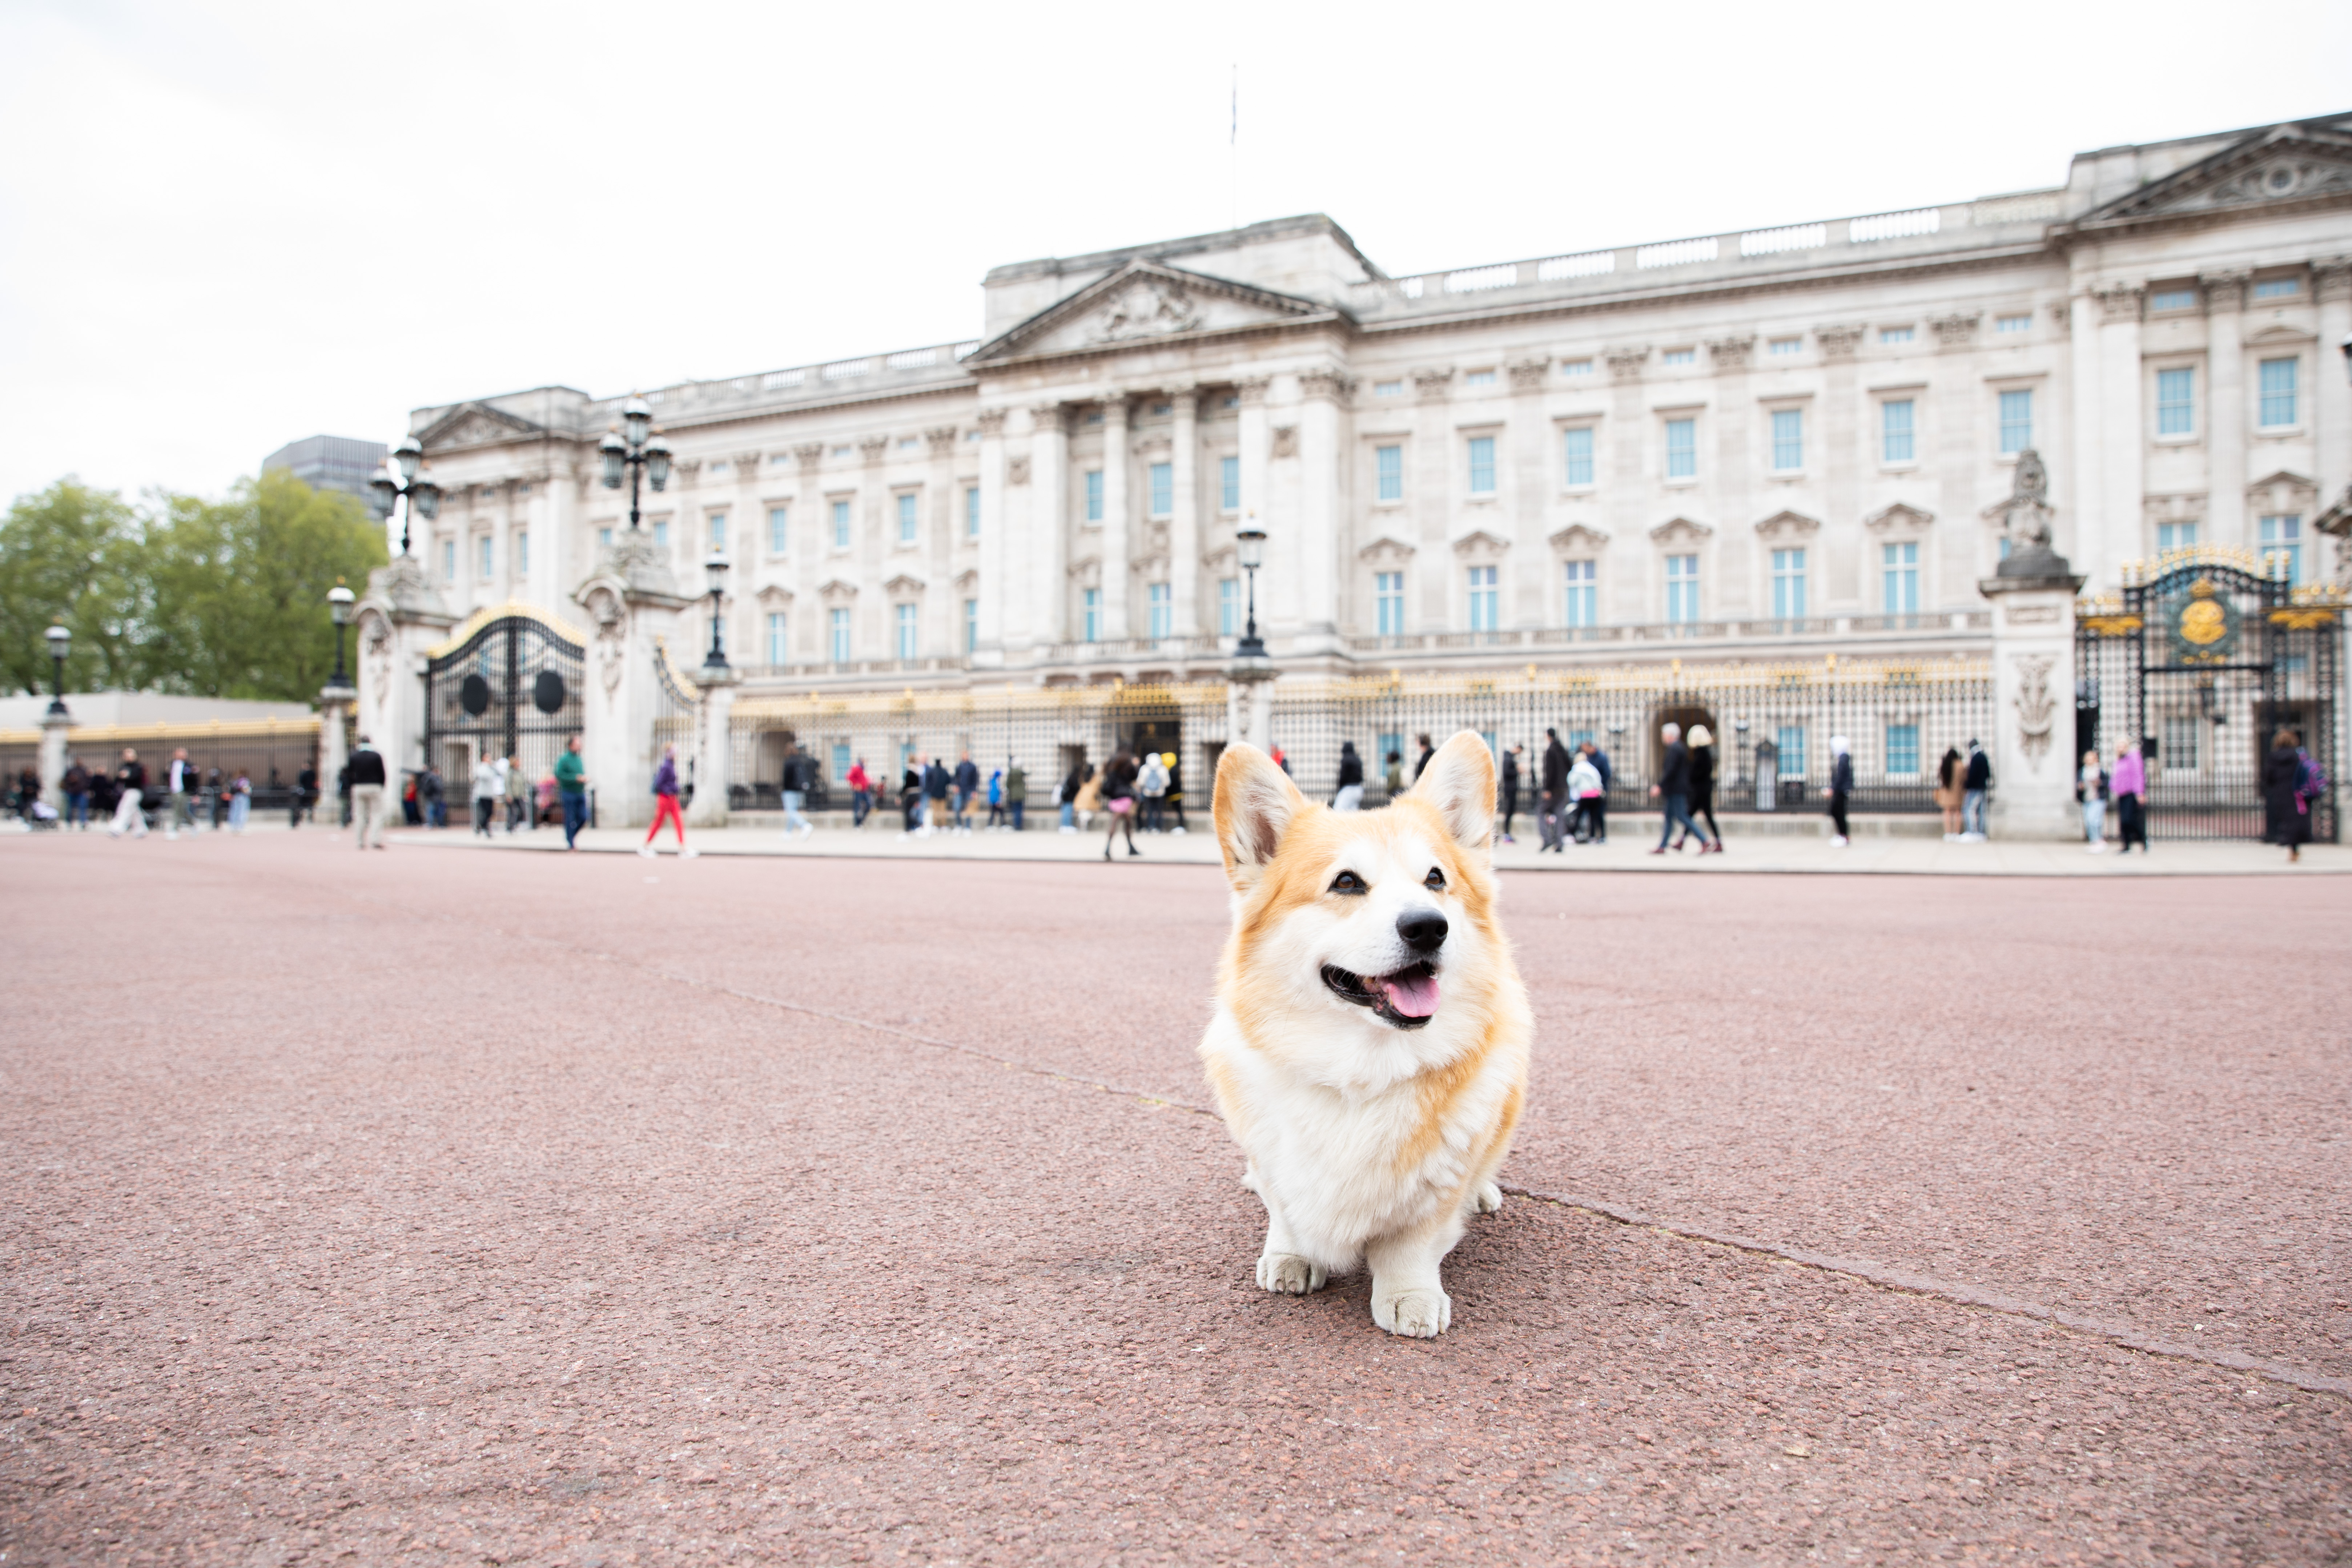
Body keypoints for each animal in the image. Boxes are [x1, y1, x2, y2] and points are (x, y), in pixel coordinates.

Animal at [1204, 733, 1533, 1335]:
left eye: (1435, 879)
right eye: (1346, 882)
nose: (1428, 926)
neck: (1360, 1070)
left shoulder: (1435, 1192)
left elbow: (1411, 1242)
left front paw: (1408, 1295)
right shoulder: (1274, 1160)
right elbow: (1286, 1210)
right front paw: (1290, 1256)